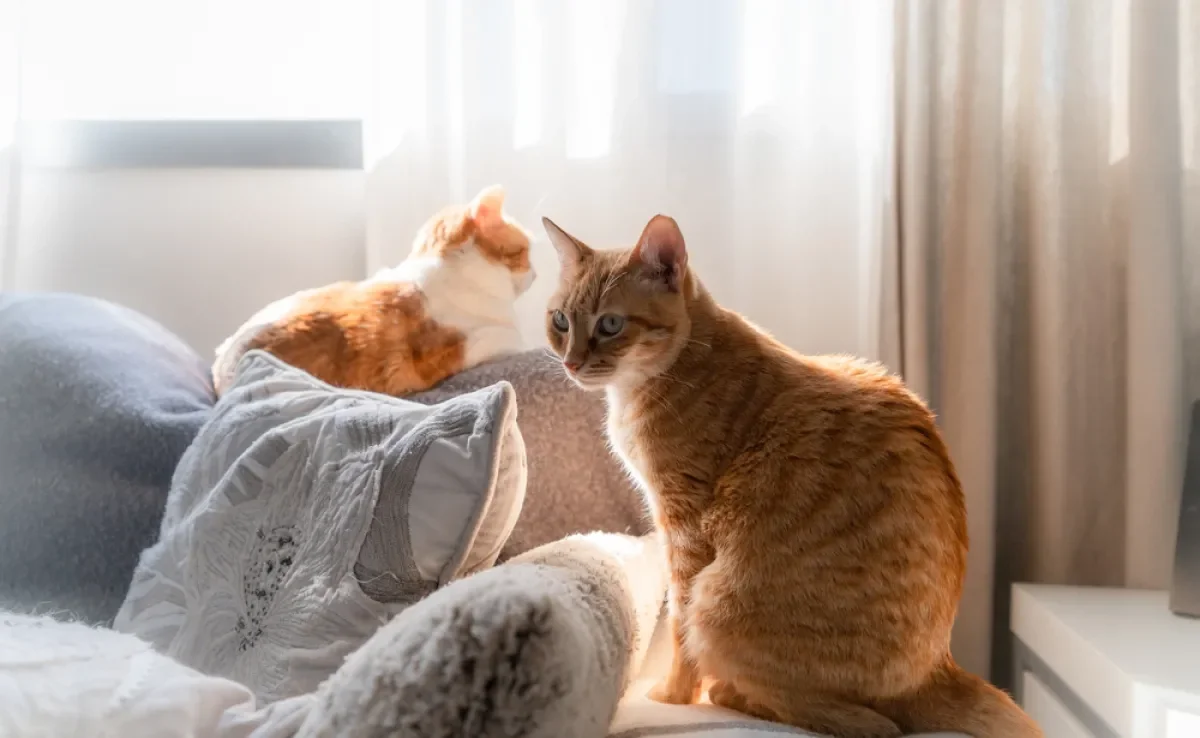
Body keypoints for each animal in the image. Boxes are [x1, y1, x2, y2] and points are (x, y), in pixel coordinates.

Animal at [544, 214, 1041, 738]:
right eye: (561, 321)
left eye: (610, 324)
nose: (571, 362)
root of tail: (936, 668)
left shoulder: (682, 527)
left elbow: (679, 629)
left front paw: (673, 695)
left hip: (716, 606)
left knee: (867, 722)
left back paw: (732, 693)